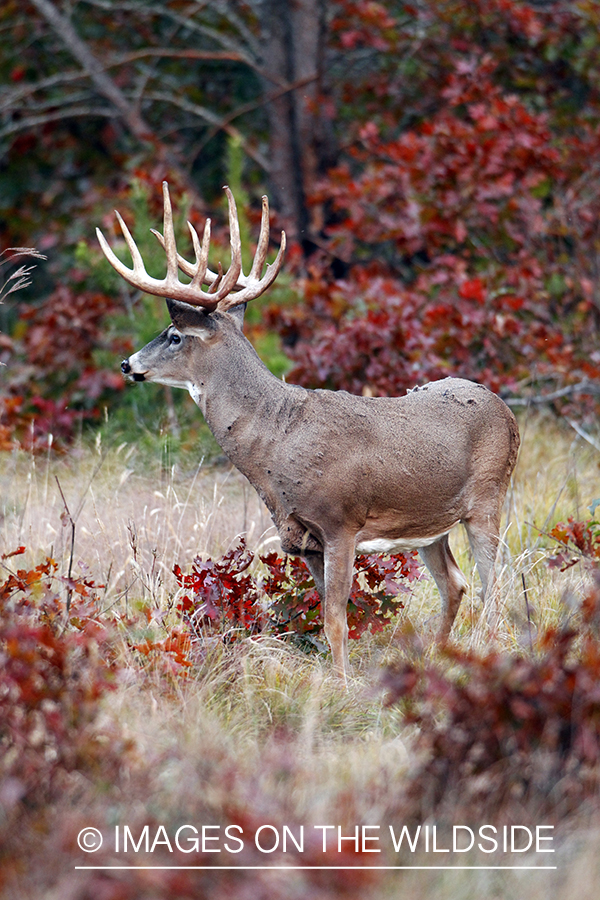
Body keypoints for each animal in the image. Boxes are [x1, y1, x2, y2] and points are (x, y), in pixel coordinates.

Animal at [96, 183, 516, 684]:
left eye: (175, 335)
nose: (127, 364)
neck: (277, 442)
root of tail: (506, 410)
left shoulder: (341, 523)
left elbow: (336, 620)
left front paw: (344, 685)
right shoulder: (303, 540)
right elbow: (328, 616)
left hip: (488, 498)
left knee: (496, 587)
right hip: (431, 525)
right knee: (456, 584)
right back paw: (436, 660)